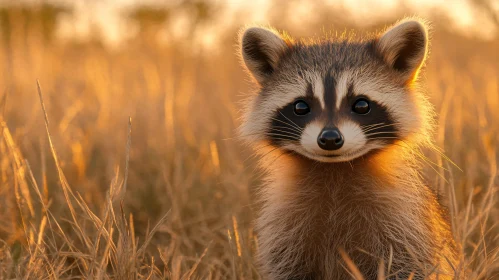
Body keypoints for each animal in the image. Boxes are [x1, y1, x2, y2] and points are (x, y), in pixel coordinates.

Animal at [240, 18, 462, 278]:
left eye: (362, 105)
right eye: (300, 107)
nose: (329, 139)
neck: (335, 169)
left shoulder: (407, 220)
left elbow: (410, 265)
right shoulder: (283, 225)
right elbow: (286, 267)